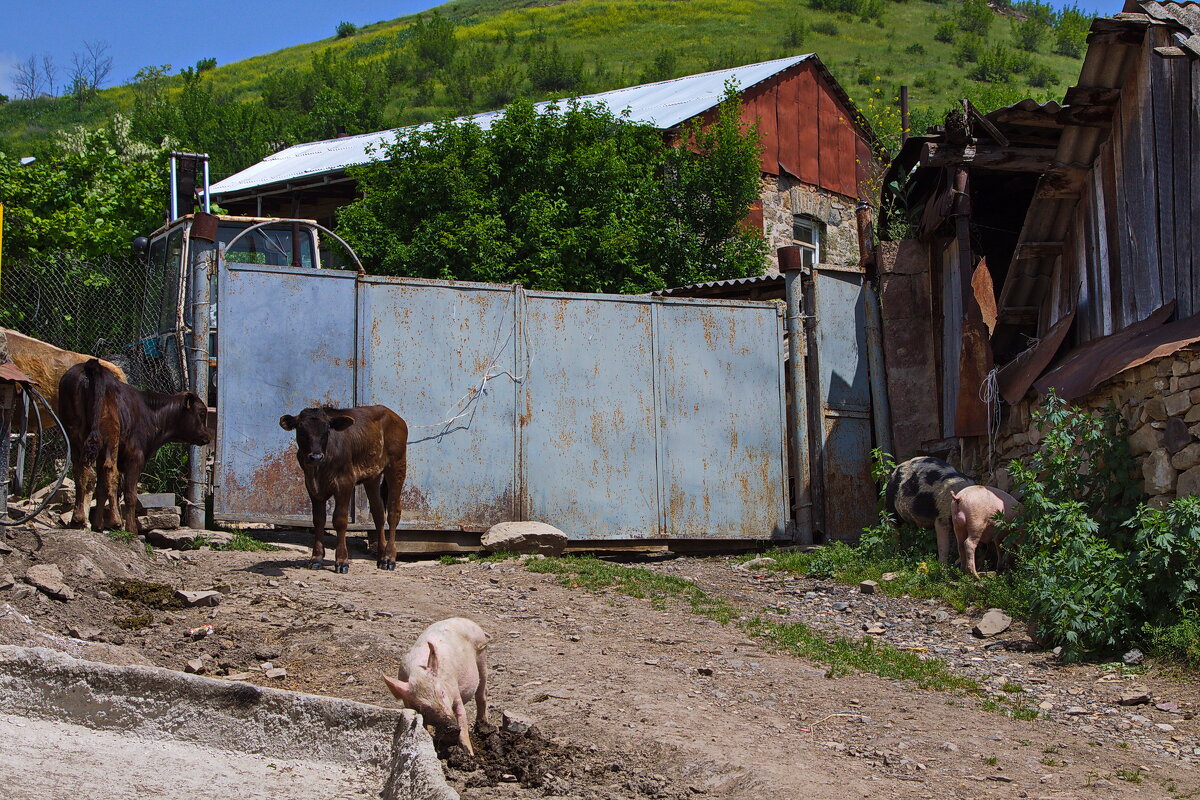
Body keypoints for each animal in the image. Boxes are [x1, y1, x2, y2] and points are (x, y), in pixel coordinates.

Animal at [59, 359, 211, 534]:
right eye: (201, 413)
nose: (207, 437)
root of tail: (90, 365)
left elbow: (101, 487)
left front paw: (98, 525)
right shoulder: (135, 457)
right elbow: (129, 493)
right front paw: (131, 528)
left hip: (74, 430)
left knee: (80, 469)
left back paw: (77, 519)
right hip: (110, 434)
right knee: (110, 470)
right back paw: (116, 521)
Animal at [278, 410, 410, 573]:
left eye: (327, 429)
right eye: (301, 429)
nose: (316, 456)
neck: (319, 469)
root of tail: (393, 415)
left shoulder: (345, 483)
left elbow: (340, 520)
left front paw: (341, 561)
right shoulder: (311, 486)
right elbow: (318, 520)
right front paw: (316, 558)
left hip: (397, 466)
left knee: (393, 512)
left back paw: (389, 558)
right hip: (372, 475)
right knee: (378, 513)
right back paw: (381, 557)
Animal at [376, 618, 484, 758]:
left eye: (442, 693)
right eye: (422, 707)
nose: (451, 728)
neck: (417, 673)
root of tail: (464, 620)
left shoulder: (454, 690)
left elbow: (462, 716)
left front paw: (470, 754)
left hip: (482, 656)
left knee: (482, 693)